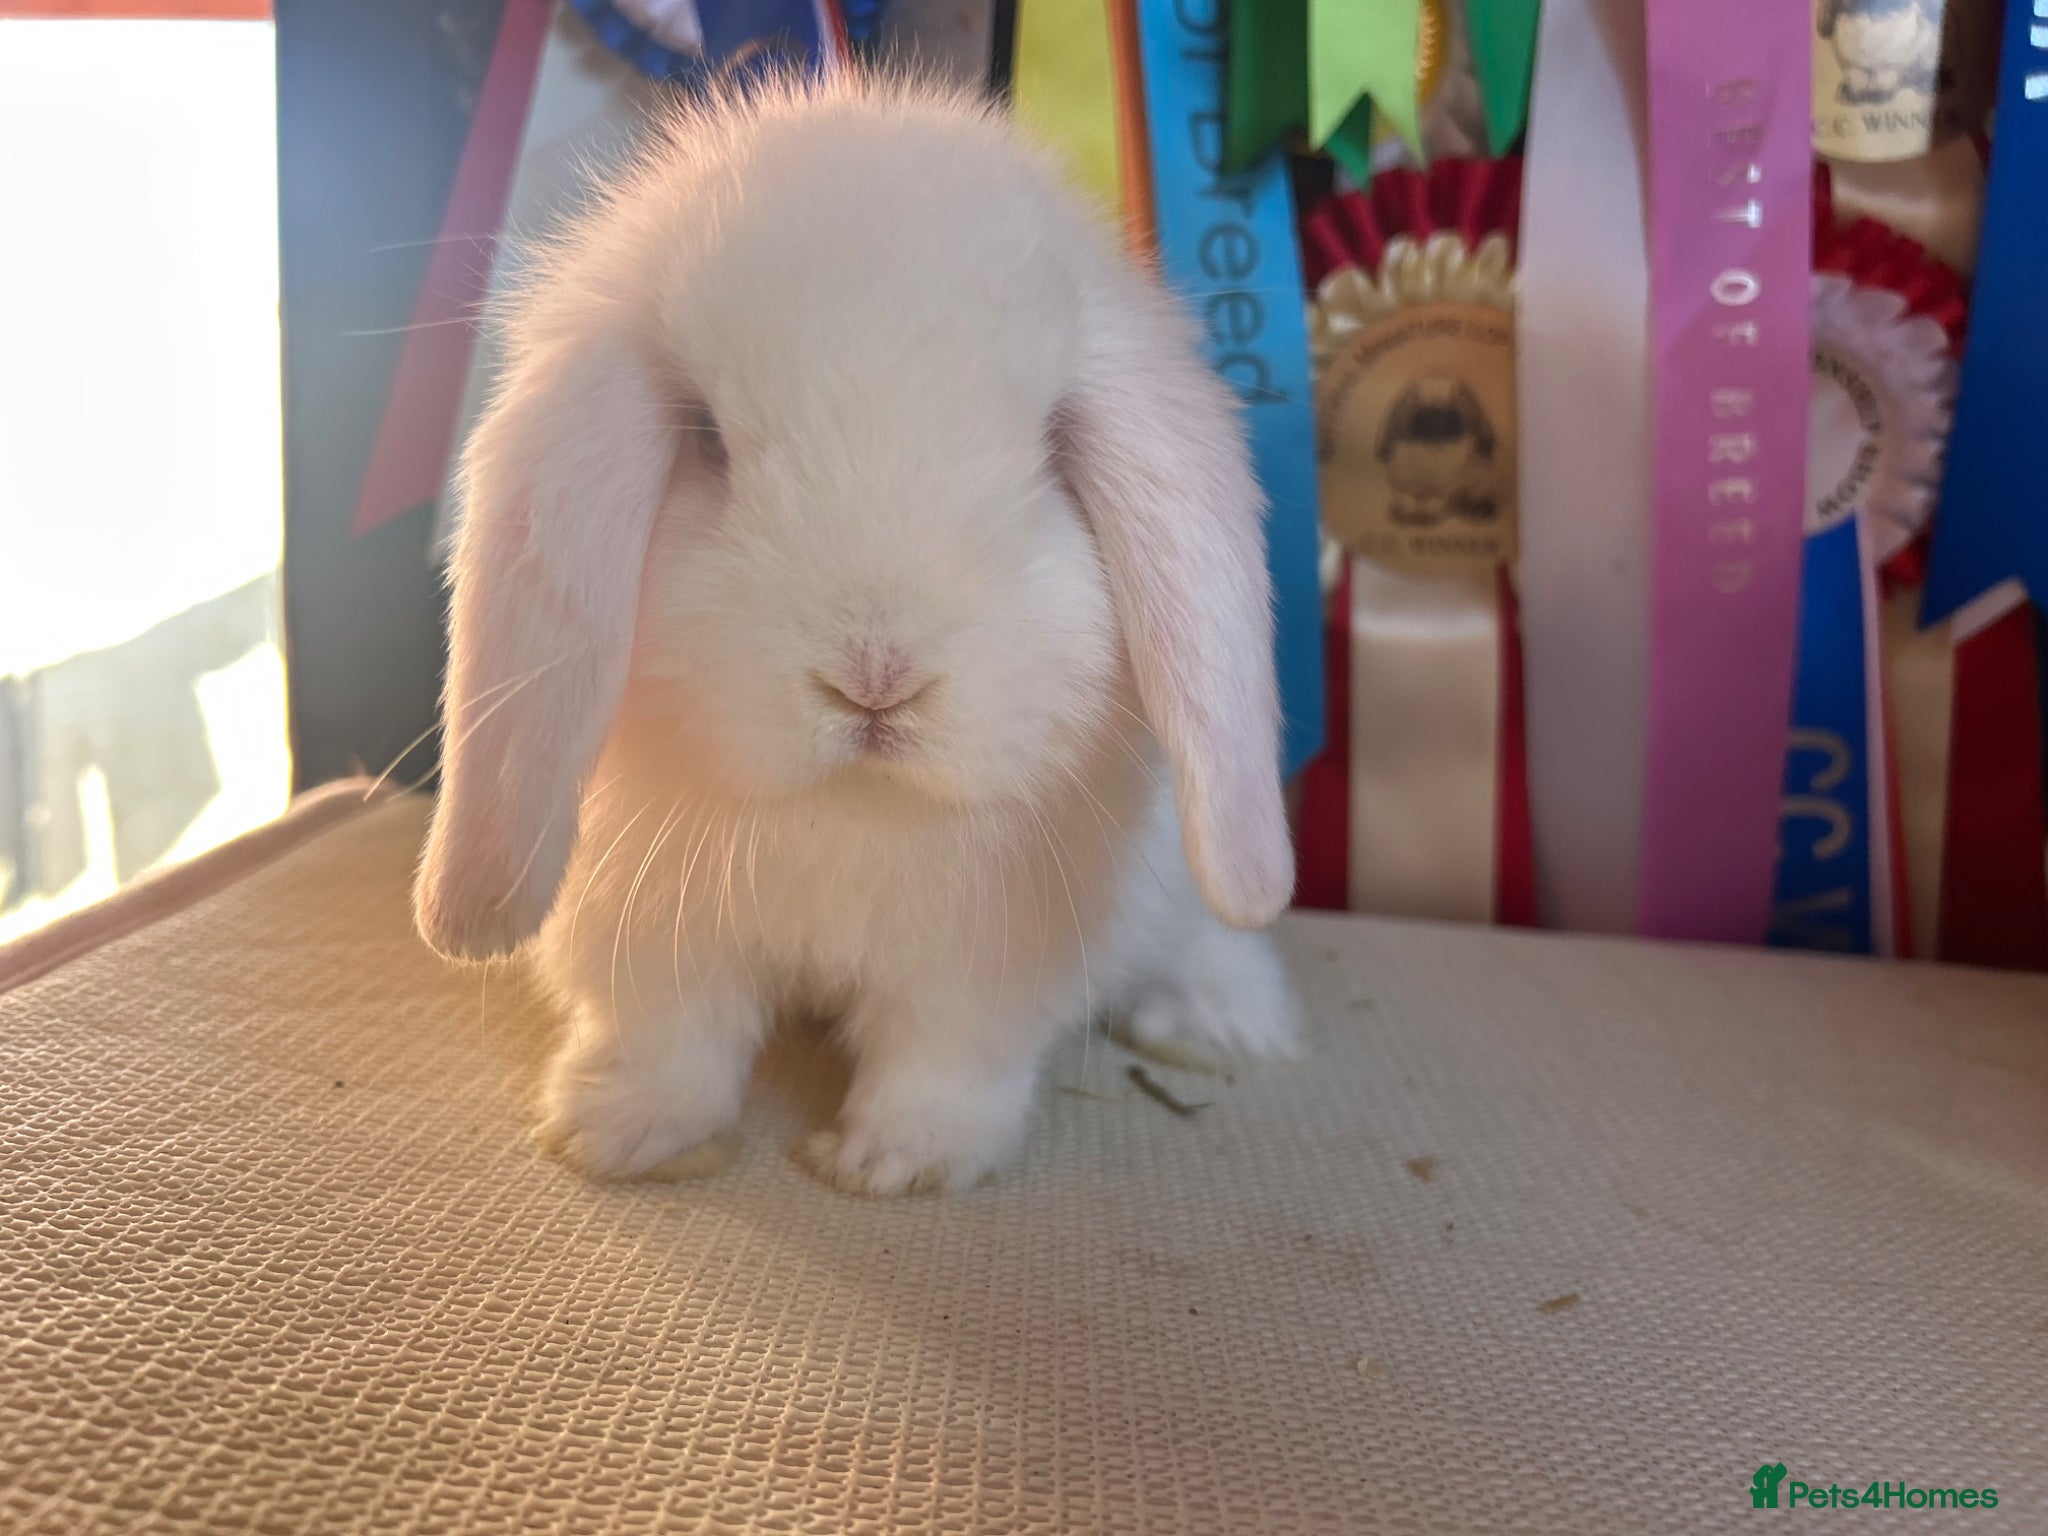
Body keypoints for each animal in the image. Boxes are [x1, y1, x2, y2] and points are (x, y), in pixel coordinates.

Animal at [412, 74, 1303, 1196]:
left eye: (1049, 450)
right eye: (706, 440)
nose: (875, 680)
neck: (846, 807)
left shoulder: (986, 963)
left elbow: (947, 1056)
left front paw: (897, 1165)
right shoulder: (640, 927)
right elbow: (667, 1034)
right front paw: (620, 1136)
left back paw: (1218, 1024)